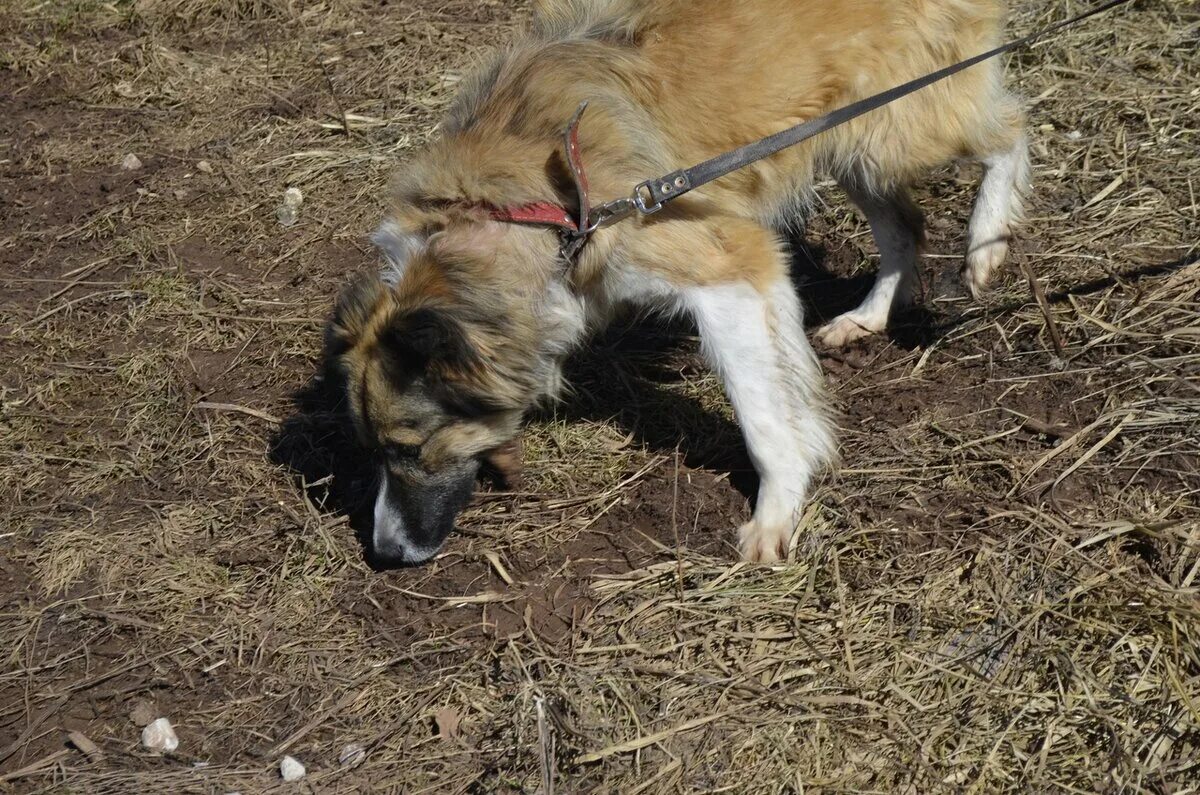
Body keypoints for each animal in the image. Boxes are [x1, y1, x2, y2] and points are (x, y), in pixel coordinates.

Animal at [326, 0, 1032, 566]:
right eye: (372, 449)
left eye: (409, 447)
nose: (384, 553)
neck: (526, 215)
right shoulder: (751, 276)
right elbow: (786, 381)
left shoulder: (727, 267)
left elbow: (762, 416)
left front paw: (777, 510)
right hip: (851, 141)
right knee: (904, 228)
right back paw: (869, 316)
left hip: (900, 127)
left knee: (1009, 130)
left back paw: (986, 243)